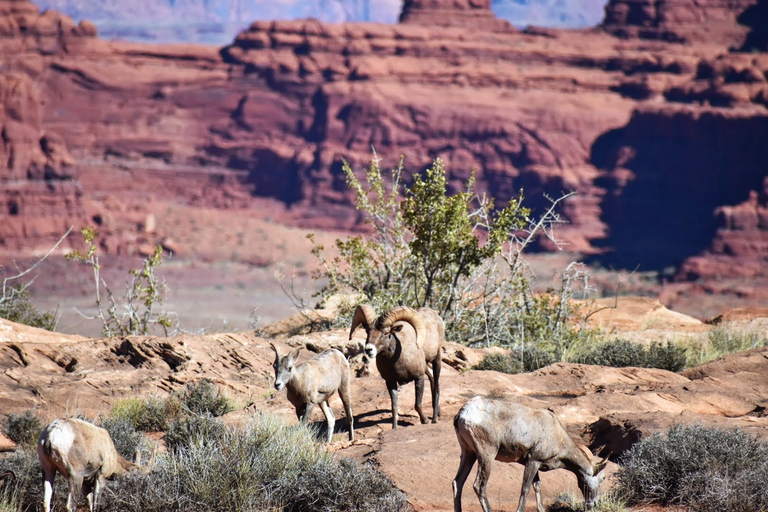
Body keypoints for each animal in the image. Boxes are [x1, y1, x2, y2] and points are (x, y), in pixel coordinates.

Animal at [450, 396, 608, 512]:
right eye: (602, 478)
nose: (592, 504)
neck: (558, 435)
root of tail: (463, 414)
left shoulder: (534, 463)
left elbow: (537, 486)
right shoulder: (533, 461)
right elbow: (525, 488)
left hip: (468, 453)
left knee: (457, 483)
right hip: (486, 456)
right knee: (479, 486)